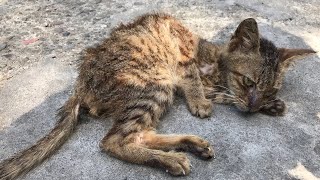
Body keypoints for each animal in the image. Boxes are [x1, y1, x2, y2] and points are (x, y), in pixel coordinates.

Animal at [0, 13, 316, 179]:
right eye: (248, 81)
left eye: (270, 87)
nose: (253, 106)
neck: (212, 60)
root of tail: (80, 83)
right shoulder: (184, 58)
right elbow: (199, 83)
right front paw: (200, 101)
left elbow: (225, 95)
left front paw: (272, 104)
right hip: (155, 81)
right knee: (114, 140)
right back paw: (170, 160)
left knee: (139, 134)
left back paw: (189, 146)